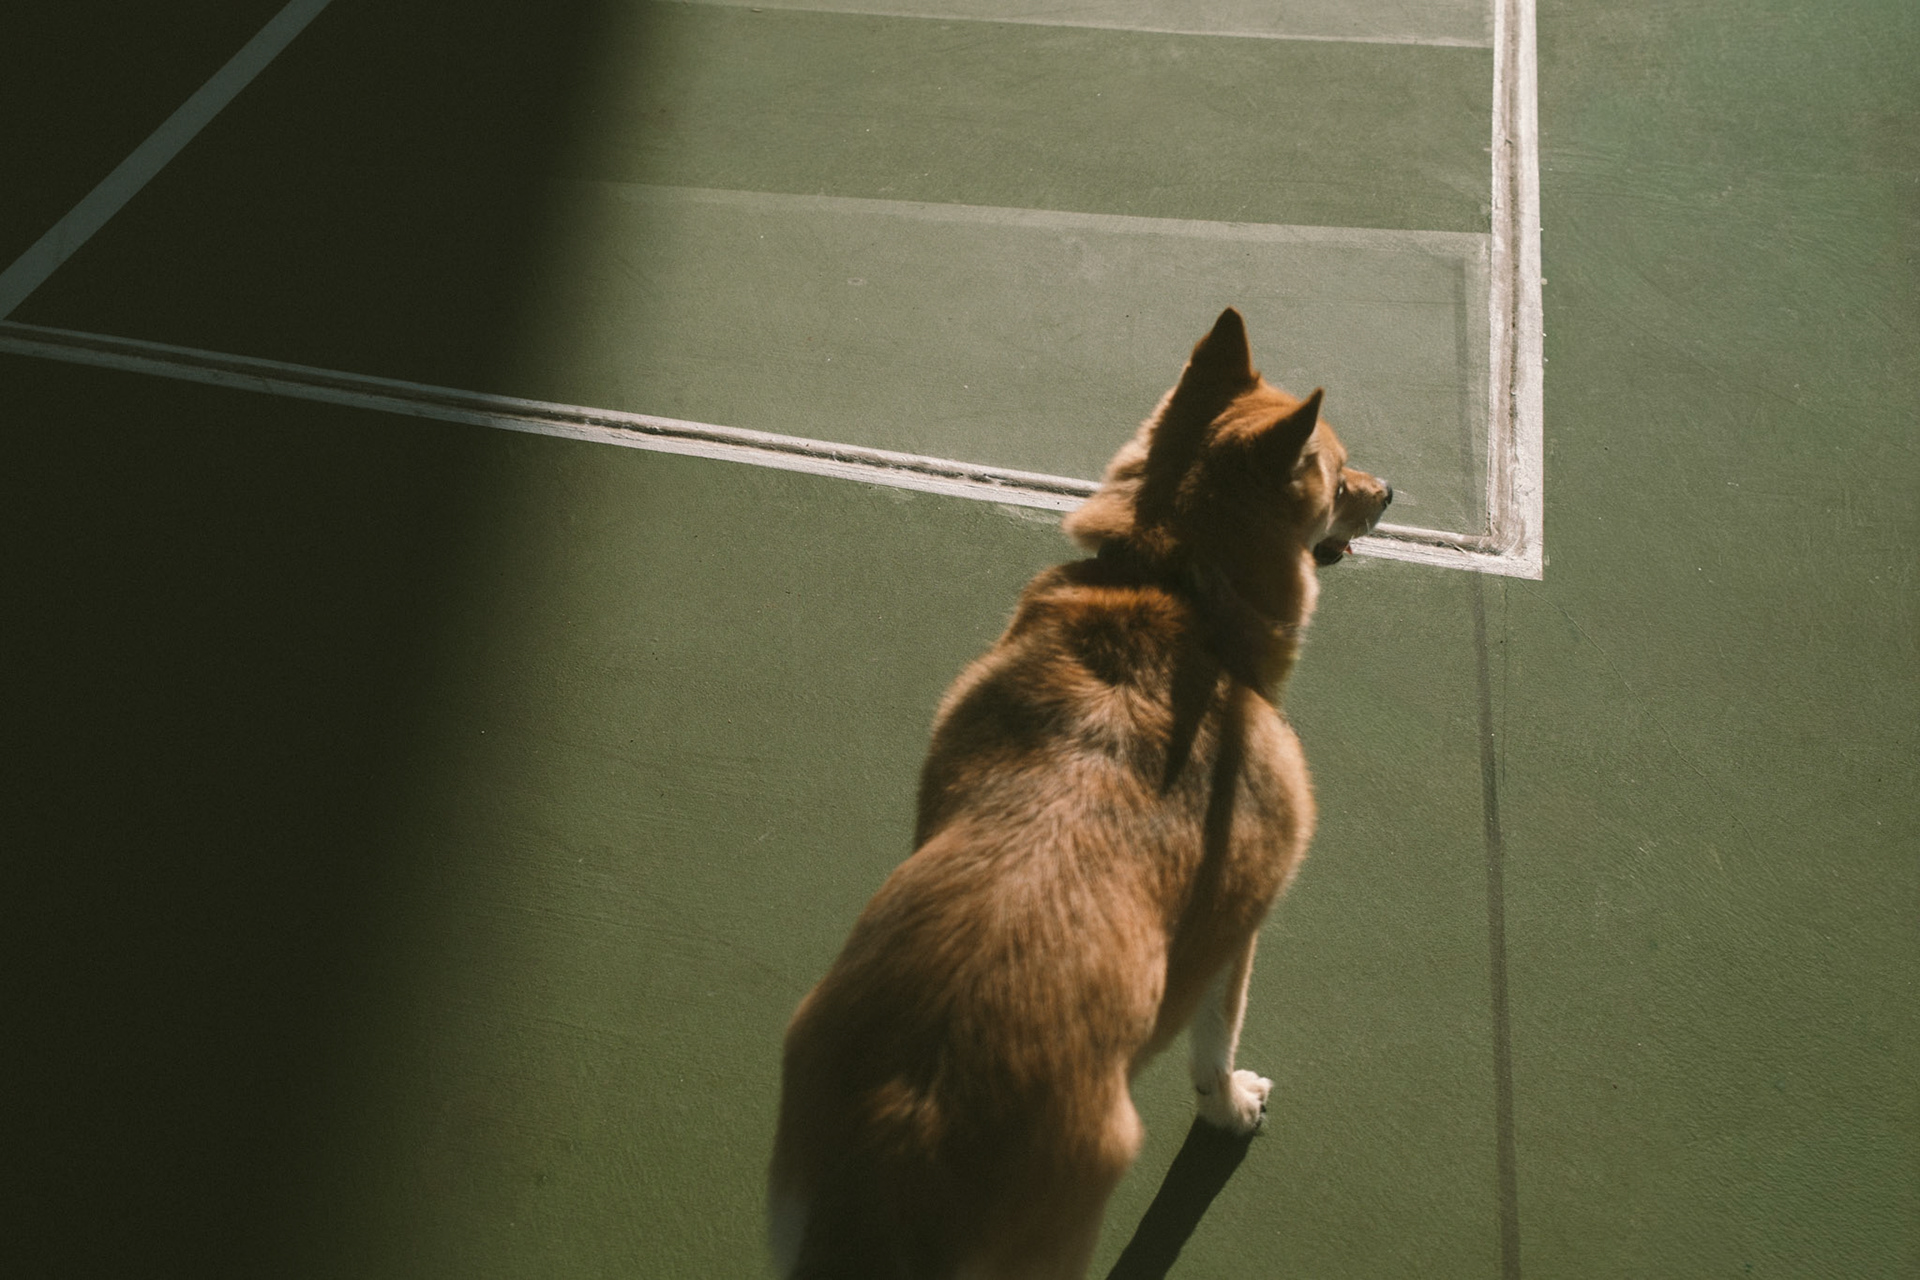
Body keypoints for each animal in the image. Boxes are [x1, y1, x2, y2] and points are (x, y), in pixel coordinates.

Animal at [769, 308, 1392, 1278]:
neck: (1171, 581)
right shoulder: (1237, 935)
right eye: (1337, 469)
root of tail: (911, 1130)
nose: (1392, 491)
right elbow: (1214, 1050)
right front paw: (1232, 1109)